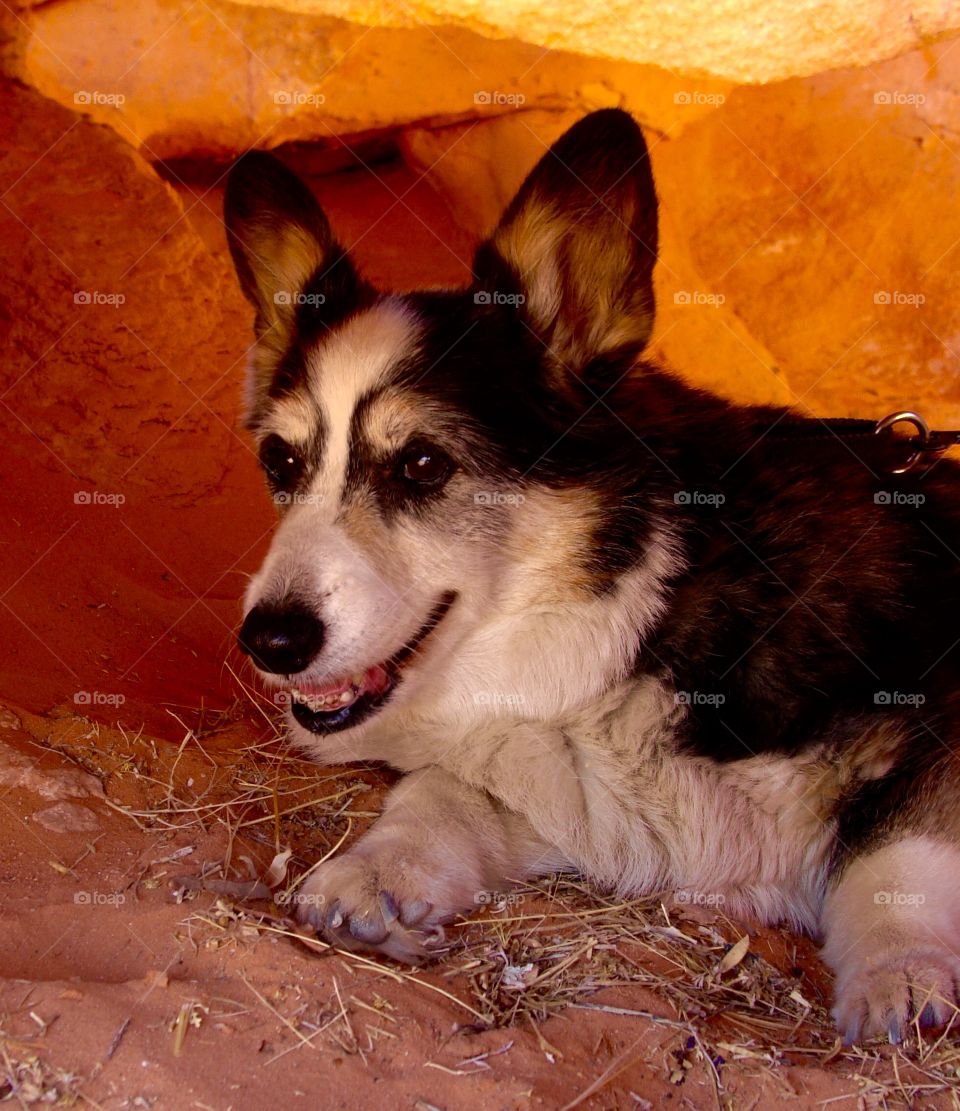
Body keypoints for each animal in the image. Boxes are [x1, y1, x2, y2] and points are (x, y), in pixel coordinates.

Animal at [223, 110, 960, 1039]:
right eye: (280, 461)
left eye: (423, 463)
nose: (270, 640)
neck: (630, 619)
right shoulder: (556, 791)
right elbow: (438, 795)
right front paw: (373, 873)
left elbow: (898, 852)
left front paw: (898, 975)